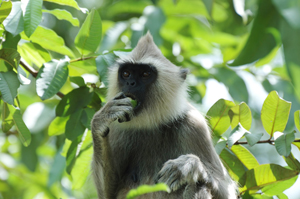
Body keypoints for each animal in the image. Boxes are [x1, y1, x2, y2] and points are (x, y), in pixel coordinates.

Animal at [90, 33, 238, 199]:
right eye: (126, 74)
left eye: (145, 74)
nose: (130, 83)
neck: (152, 123)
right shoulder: (118, 123)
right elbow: (107, 194)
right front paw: (101, 120)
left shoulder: (194, 124)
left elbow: (228, 192)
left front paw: (189, 166)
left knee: (198, 184)